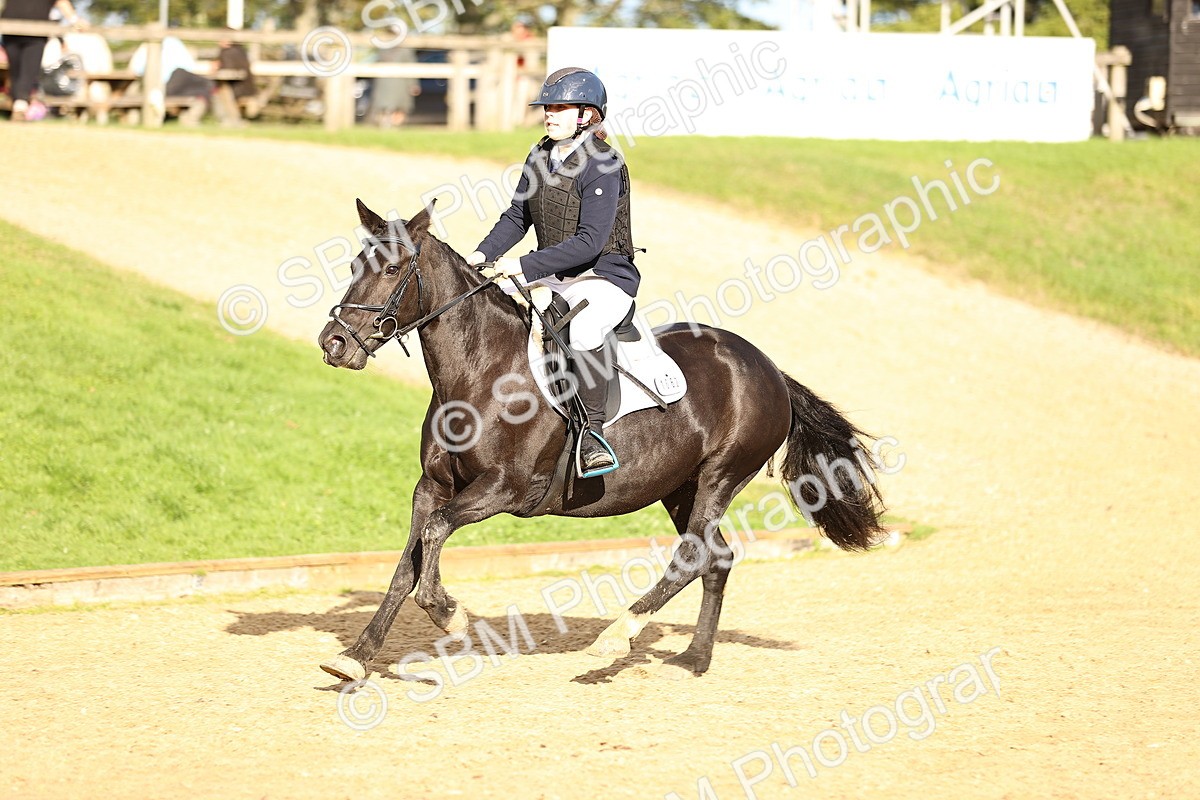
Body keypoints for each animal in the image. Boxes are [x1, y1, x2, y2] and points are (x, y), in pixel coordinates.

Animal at [315, 199, 886, 681]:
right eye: (354, 266)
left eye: (392, 270)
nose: (334, 343)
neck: (483, 371)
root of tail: (767, 369)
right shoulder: (431, 486)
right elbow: (406, 563)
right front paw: (358, 656)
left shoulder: (504, 488)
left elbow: (434, 535)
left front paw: (448, 613)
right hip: (679, 488)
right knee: (715, 557)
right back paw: (694, 658)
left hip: (721, 476)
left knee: (692, 555)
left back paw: (616, 637)